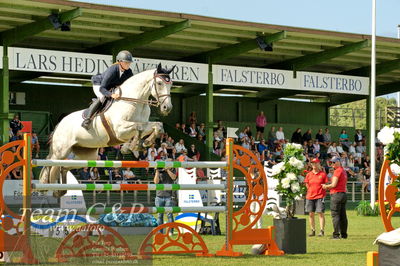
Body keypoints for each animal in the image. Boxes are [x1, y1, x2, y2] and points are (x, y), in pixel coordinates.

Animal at [39, 64, 175, 196]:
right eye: (159, 83)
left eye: (171, 84)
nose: (167, 108)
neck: (135, 101)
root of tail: (59, 125)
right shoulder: (120, 130)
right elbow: (138, 127)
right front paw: (133, 146)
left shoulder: (142, 124)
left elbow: (157, 126)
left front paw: (143, 143)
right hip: (61, 151)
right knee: (51, 166)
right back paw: (51, 190)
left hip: (87, 155)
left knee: (64, 167)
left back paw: (60, 191)